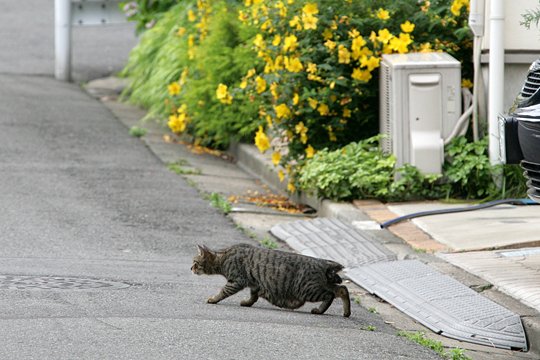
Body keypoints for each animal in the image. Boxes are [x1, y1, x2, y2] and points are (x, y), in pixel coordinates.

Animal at [192, 243, 352, 316]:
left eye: (195, 262)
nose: (190, 268)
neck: (223, 258)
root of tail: (322, 262)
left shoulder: (236, 281)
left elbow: (223, 292)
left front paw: (213, 299)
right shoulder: (255, 284)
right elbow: (253, 296)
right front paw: (247, 302)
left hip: (307, 290)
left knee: (330, 294)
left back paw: (319, 310)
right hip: (320, 285)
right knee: (342, 289)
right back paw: (346, 312)